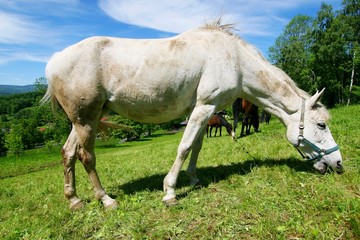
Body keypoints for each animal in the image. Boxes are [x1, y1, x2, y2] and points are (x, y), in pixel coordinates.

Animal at [42, 22, 344, 210]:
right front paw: (170, 192)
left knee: (68, 153)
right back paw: (106, 200)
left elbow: (197, 146)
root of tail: (55, 59)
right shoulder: (204, 107)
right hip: (86, 120)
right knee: (86, 157)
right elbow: (185, 146)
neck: (235, 60)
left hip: (84, 119)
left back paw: (74, 200)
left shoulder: (202, 111)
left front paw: (194, 179)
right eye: (321, 124)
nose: (338, 164)